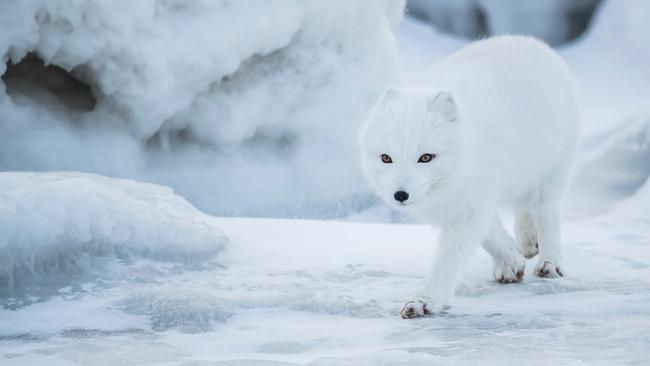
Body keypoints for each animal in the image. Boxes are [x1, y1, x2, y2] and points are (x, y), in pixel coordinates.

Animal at [360, 35, 576, 318]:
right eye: (386, 158)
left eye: (426, 157)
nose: (400, 195)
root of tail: (531, 41)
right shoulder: (471, 202)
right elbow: (491, 236)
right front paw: (511, 262)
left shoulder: (472, 204)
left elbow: (449, 260)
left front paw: (425, 301)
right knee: (523, 210)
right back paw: (527, 243)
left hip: (550, 174)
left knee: (546, 215)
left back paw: (550, 263)